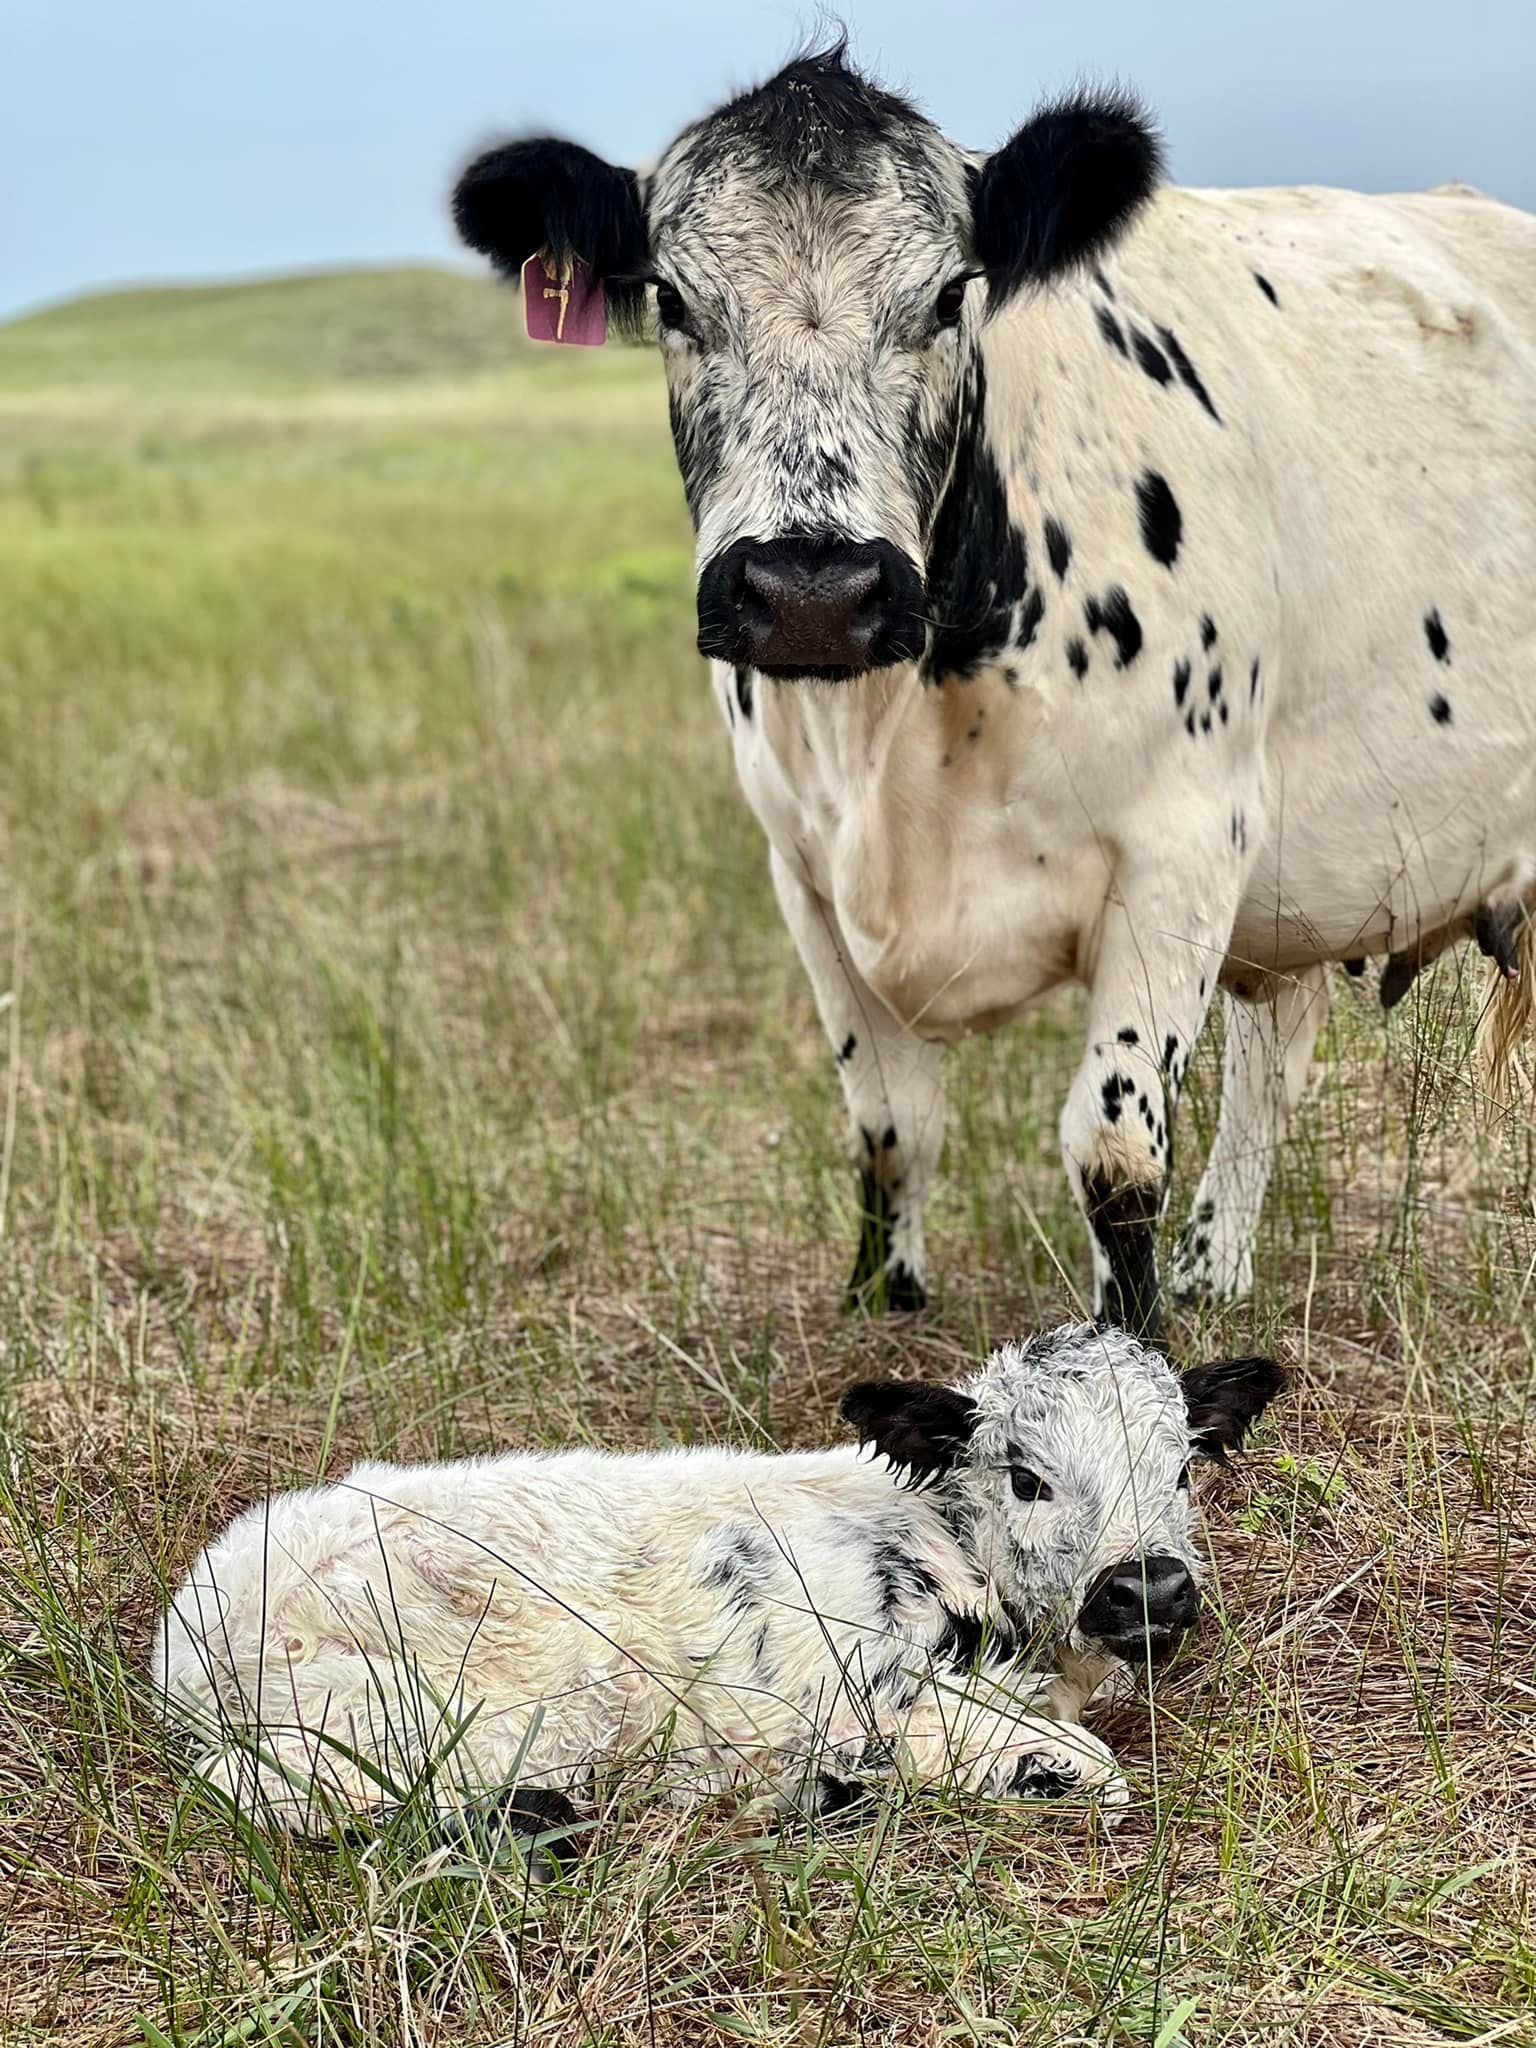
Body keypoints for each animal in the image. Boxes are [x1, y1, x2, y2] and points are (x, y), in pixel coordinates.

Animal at [153, 1327, 1284, 1851]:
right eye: (1025, 1475)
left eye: (1185, 1468)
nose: (1148, 1588)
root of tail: (193, 1620)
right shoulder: (868, 1692)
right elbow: (1092, 1770)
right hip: (429, 1708)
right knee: (264, 1790)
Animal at [452, 42, 1536, 1335]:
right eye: (670, 299)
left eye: (947, 295)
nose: (813, 589)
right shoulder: (802, 873)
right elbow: (888, 1124)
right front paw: (884, 1298)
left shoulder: (1184, 844)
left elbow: (1115, 1148)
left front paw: (1131, 1349)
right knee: (1276, 1054)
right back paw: (1214, 1267)